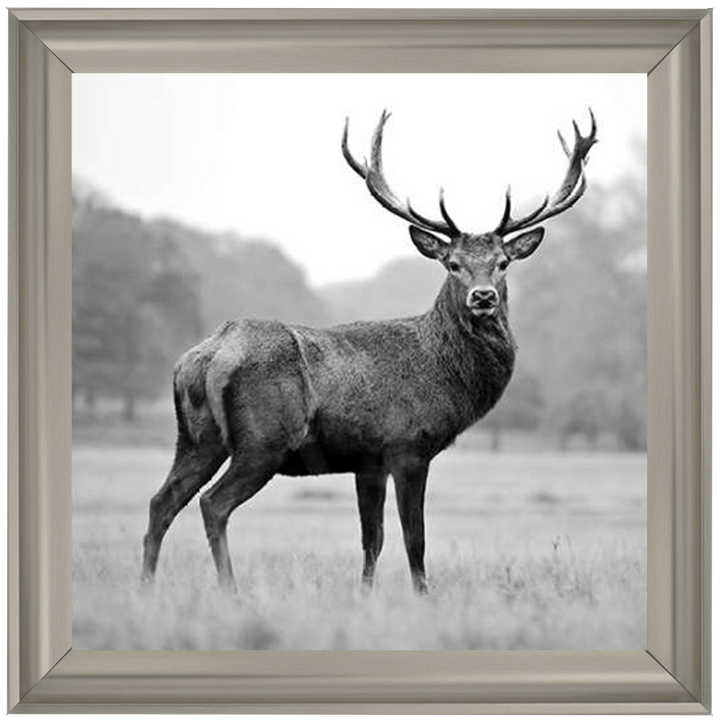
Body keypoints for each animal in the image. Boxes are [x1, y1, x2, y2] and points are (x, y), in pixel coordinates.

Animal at [141, 109, 597, 595]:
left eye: (503, 263)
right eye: (452, 263)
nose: (483, 297)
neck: (444, 375)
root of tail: (207, 356)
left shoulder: (368, 461)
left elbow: (371, 539)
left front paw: (365, 595)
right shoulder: (408, 446)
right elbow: (414, 538)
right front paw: (423, 596)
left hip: (196, 437)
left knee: (161, 501)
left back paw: (146, 587)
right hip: (263, 440)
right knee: (213, 503)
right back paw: (231, 591)